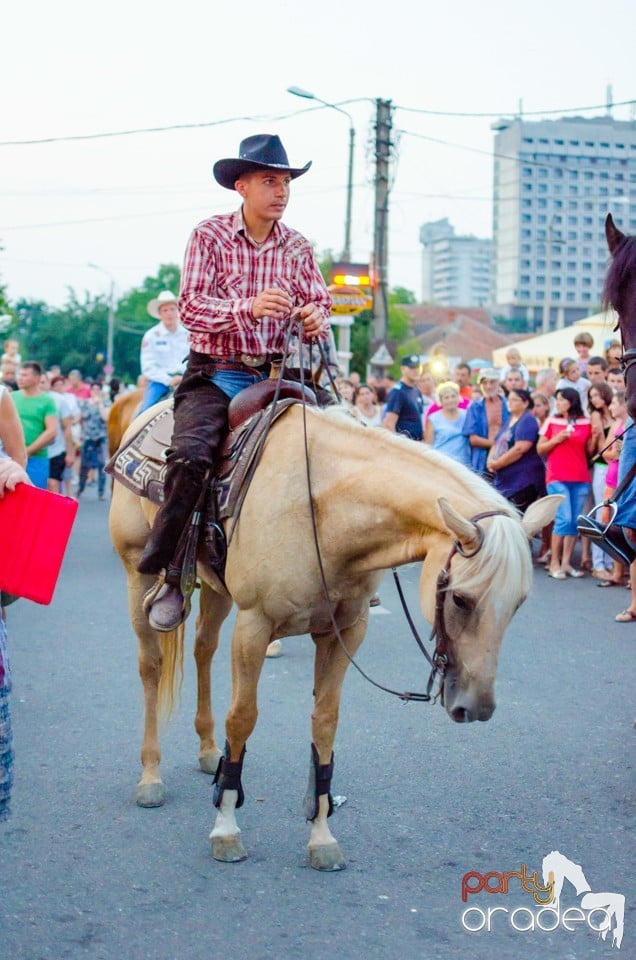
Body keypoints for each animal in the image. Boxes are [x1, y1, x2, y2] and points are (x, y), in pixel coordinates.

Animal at [112, 400, 560, 872]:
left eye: (519, 602)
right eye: (459, 598)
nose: (476, 707)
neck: (323, 509)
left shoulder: (344, 632)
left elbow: (325, 724)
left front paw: (321, 837)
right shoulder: (255, 626)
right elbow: (243, 717)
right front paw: (226, 827)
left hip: (217, 590)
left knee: (203, 649)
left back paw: (206, 748)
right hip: (137, 572)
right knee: (151, 665)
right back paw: (150, 775)